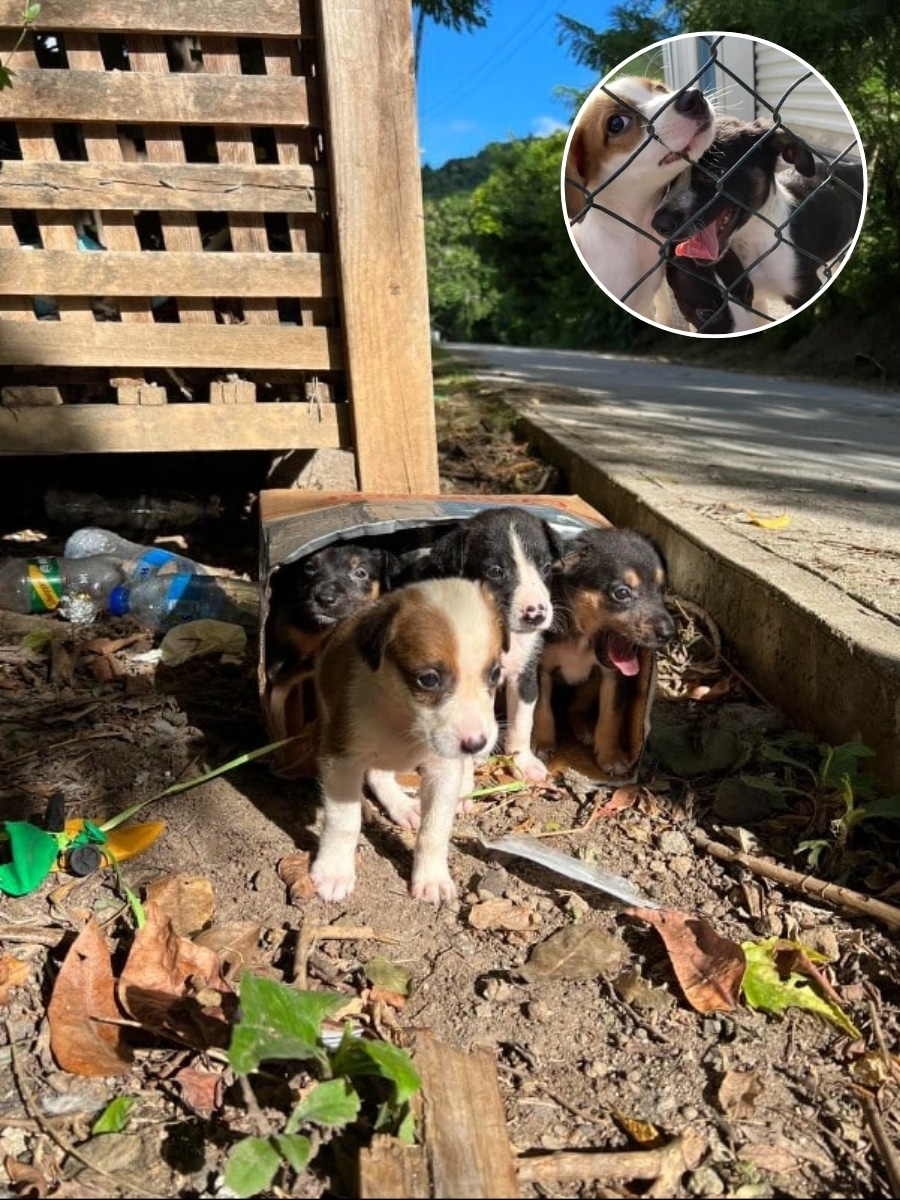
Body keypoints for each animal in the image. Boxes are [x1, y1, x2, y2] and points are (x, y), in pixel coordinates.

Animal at [264, 543, 399, 775]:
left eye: (360, 573)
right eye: (309, 567)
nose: (324, 599)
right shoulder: (289, 657)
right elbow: (292, 708)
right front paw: (293, 750)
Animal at [310, 577, 508, 904]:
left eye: (494, 673)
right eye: (428, 679)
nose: (477, 744)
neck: (403, 716)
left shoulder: (444, 769)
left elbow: (434, 830)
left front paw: (432, 878)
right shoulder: (341, 756)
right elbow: (343, 821)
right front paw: (334, 870)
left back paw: (403, 806)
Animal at [424, 506, 563, 783]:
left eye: (546, 567)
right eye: (496, 571)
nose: (536, 614)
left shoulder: (524, 676)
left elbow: (522, 723)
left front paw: (523, 761)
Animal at [533, 528, 675, 777]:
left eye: (662, 590)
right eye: (622, 593)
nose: (669, 633)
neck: (581, 639)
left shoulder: (614, 677)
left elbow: (611, 717)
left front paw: (611, 756)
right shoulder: (541, 669)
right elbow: (542, 706)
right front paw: (541, 742)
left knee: (576, 708)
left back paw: (586, 729)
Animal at [651, 118, 865, 333]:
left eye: (714, 171)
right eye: (669, 177)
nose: (659, 224)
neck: (753, 241)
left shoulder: (805, 290)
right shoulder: (755, 299)